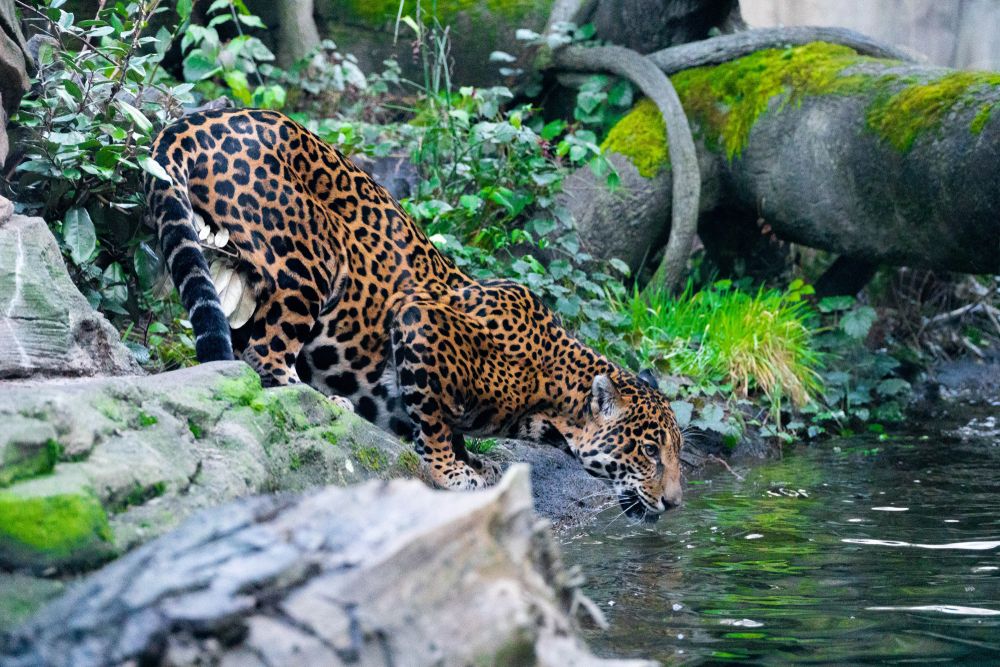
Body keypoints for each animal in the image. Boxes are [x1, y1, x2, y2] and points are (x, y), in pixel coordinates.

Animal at [144, 108, 683, 522]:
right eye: (649, 451)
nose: (676, 503)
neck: (546, 395)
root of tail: (192, 119)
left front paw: (476, 464)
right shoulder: (420, 322)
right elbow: (436, 420)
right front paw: (453, 471)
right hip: (310, 258)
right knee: (264, 354)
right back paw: (321, 398)